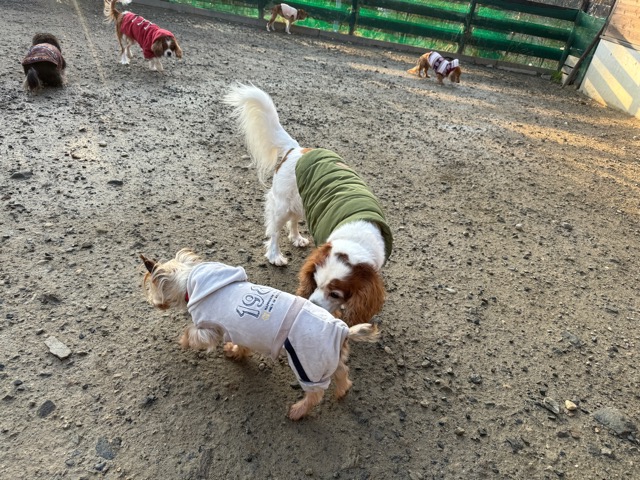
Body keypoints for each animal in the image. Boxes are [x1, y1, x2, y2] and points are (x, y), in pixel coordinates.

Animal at [141, 249, 379, 420]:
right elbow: (241, 346)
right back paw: (342, 391)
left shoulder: (209, 328)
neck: (189, 280)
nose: (151, 302)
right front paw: (234, 352)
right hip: (328, 358)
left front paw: (183, 341)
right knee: (342, 372)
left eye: (150, 287)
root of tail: (343, 329)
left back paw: (298, 411)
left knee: (316, 393)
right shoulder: (241, 331)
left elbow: (193, 333)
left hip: (307, 364)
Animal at [223, 84, 393, 326]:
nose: (311, 305)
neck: (356, 239)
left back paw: (297, 238)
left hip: (303, 202)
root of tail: (296, 149)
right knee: (275, 231)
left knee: (293, 222)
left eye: (335, 294)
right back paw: (275, 255)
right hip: (282, 205)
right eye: (315, 281)